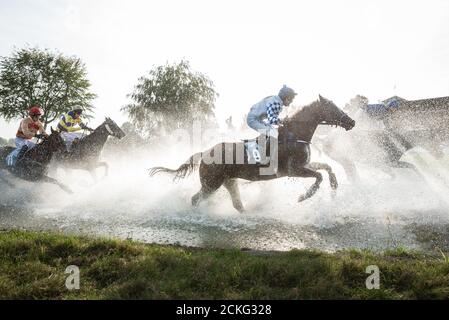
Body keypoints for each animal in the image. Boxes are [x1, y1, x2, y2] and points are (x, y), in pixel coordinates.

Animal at [149, 96, 356, 214]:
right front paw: (303, 196)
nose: (352, 122)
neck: (294, 134)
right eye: (332, 107)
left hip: (229, 181)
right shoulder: (293, 170)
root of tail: (204, 152)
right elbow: (319, 176)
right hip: (211, 184)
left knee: (237, 204)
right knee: (195, 199)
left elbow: (327, 167)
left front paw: (335, 185)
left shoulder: (304, 165)